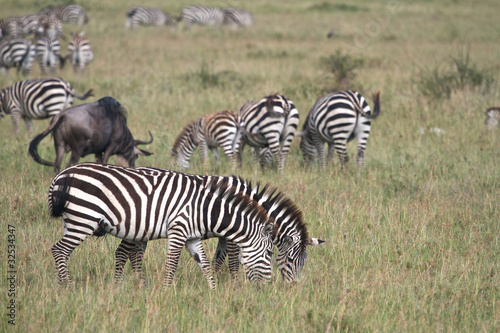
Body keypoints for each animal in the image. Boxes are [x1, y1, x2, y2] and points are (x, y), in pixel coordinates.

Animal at [47, 163, 274, 288]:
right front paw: (166, 291)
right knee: (59, 250)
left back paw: (59, 286)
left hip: (73, 220)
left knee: (62, 252)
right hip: (83, 218)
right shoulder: (178, 229)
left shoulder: (192, 237)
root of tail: (61, 174)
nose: (266, 288)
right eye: (269, 253)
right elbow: (172, 263)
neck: (204, 209)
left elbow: (205, 264)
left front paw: (213, 292)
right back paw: (68, 286)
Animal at [113, 172, 324, 284]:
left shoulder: (226, 235)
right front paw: (235, 285)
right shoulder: (234, 234)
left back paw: (140, 283)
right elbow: (232, 261)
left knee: (135, 254)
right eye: (291, 260)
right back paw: (122, 284)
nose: (292, 288)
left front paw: (214, 280)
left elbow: (218, 259)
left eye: (304, 262)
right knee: (122, 252)